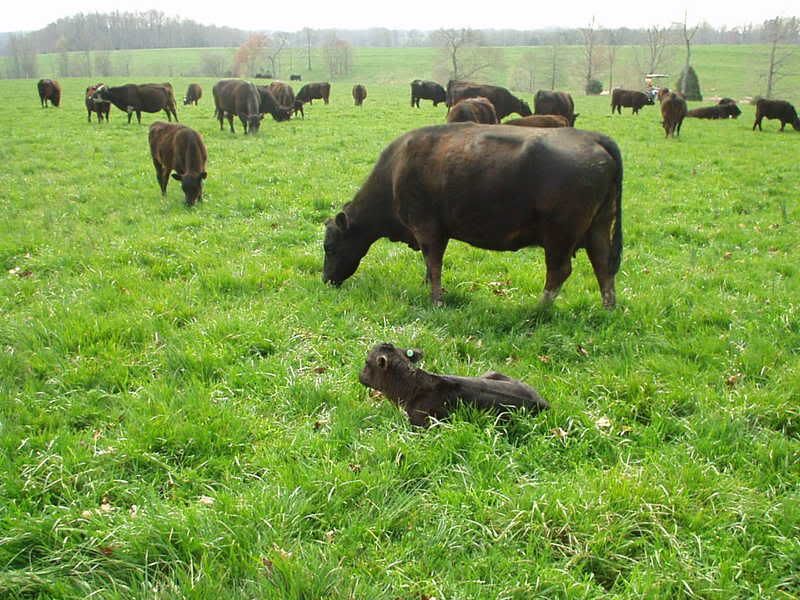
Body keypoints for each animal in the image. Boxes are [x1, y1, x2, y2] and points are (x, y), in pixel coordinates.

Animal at [322, 124, 623, 309]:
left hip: (560, 236)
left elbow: (433, 264)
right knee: (603, 266)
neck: (395, 172)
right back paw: (608, 307)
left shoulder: (427, 229)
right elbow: (430, 266)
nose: (326, 280)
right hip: (598, 227)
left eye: (330, 246)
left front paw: (436, 300)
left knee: (559, 271)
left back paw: (538, 310)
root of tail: (592, 137)